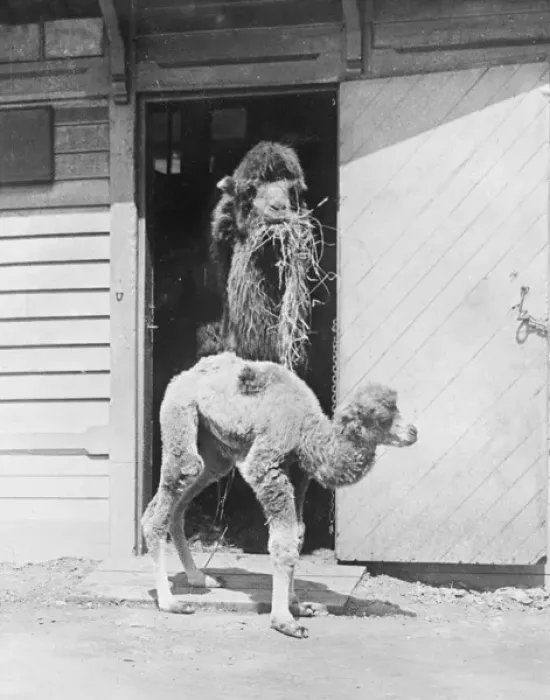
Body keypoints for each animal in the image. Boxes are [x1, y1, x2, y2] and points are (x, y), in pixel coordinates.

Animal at [141, 352, 418, 639]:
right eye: (382, 417)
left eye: (396, 408)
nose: (413, 432)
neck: (306, 431)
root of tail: (180, 378)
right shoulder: (266, 466)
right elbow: (282, 542)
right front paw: (285, 621)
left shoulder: (298, 473)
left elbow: (297, 535)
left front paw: (297, 606)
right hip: (180, 416)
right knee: (173, 490)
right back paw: (170, 602)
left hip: (213, 449)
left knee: (176, 506)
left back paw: (200, 578)